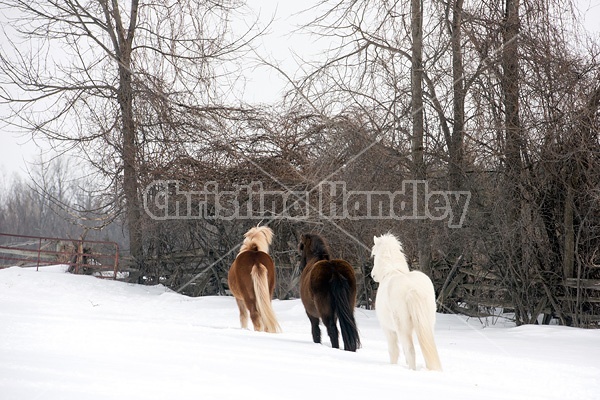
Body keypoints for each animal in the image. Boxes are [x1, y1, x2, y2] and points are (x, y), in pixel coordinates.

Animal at [370, 233, 440, 370]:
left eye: (374, 255)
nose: (373, 275)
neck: (391, 272)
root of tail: (413, 289)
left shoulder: (388, 329)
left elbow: (394, 351)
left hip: (402, 328)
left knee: (410, 350)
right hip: (428, 324)